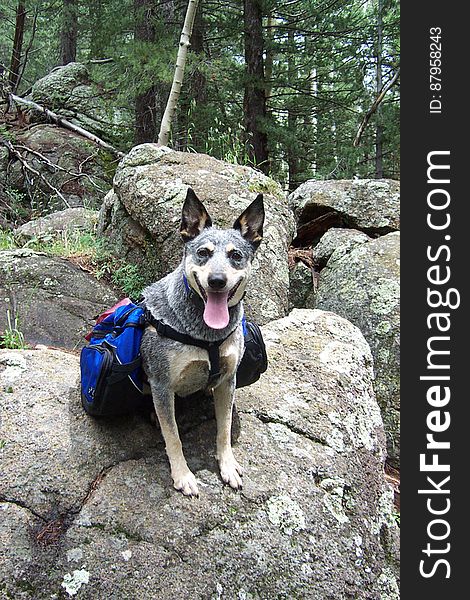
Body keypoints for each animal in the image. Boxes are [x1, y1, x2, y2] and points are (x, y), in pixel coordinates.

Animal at [140, 189, 264, 496]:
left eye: (235, 255)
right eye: (203, 252)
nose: (217, 280)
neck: (208, 336)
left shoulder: (228, 380)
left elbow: (225, 427)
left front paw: (227, 465)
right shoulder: (162, 385)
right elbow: (172, 435)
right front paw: (182, 475)